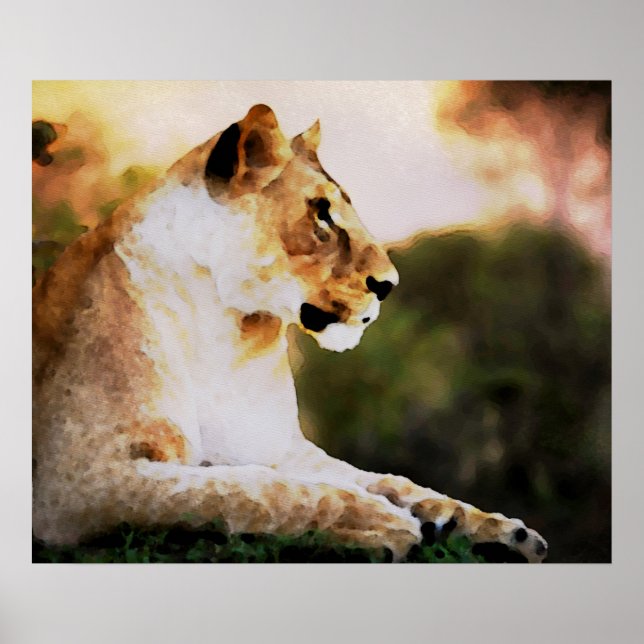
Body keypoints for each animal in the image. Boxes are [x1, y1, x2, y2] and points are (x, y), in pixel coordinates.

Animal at [32, 104, 547, 562]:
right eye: (322, 214)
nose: (389, 284)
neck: (224, 331)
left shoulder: (276, 446)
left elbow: (389, 481)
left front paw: (503, 533)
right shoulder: (79, 482)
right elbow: (250, 492)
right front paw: (381, 521)